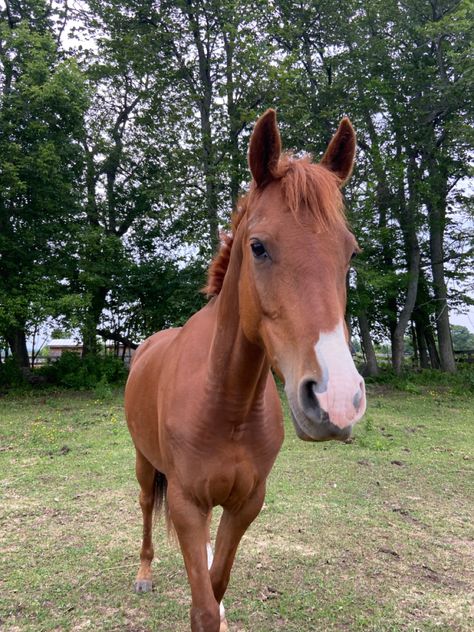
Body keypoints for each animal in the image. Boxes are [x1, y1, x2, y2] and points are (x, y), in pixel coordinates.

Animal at [124, 110, 364, 632]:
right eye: (258, 247)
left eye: (351, 252)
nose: (337, 399)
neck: (226, 402)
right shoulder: (187, 504)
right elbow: (201, 607)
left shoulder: (246, 504)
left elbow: (215, 585)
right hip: (144, 464)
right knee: (145, 509)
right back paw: (144, 573)